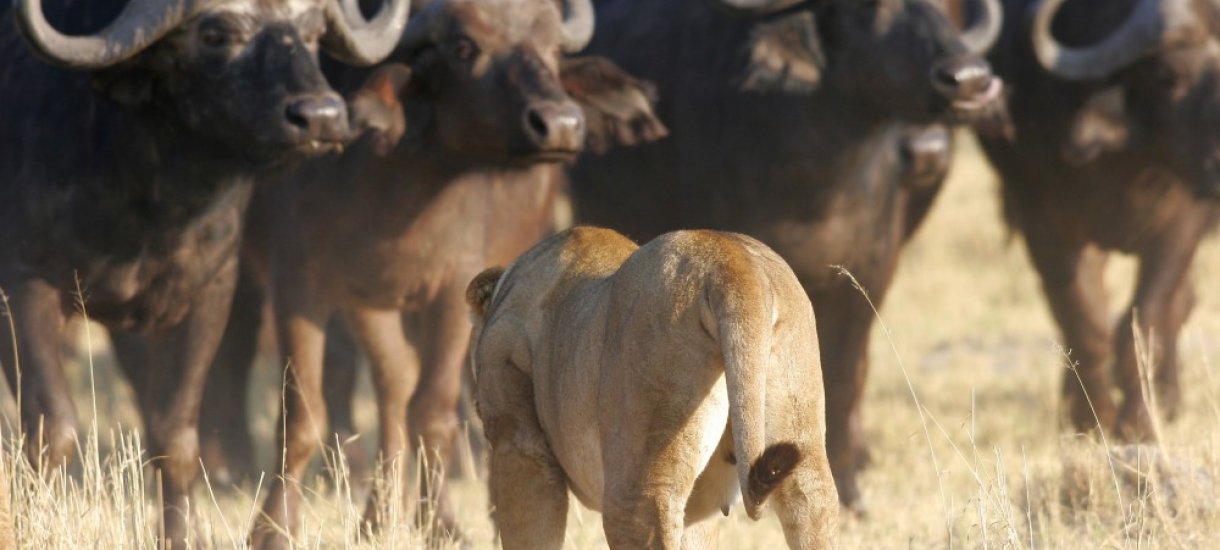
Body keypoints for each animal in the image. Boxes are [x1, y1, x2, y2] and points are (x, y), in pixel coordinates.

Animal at [0, 0, 409, 541]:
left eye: (313, 31)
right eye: (216, 34)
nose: (320, 117)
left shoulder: (208, 293)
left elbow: (174, 434)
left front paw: (179, 536)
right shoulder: (24, 284)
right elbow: (52, 427)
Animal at [229, 1, 663, 546]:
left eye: (551, 47)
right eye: (464, 47)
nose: (562, 122)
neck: (391, 187)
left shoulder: (451, 290)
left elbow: (432, 410)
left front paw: (441, 525)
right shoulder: (299, 286)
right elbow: (302, 415)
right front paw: (272, 529)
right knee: (393, 386)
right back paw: (376, 517)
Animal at [466, 225, 839, 548]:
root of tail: (726, 258)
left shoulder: (519, 446)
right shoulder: (699, 511)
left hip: (636, 487)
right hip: (802, 457)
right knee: (812, 503)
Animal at [566, 0, 1005, 512]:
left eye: (944, 9)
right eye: (866, 9)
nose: (969, 78)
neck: (819, 181)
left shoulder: (868, 276)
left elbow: (843, 378)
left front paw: (849, 489)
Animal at [976, 0, 1220, 441]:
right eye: (1168, 74)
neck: (1127, 164)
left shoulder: (1184, 221)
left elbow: (1147, 319)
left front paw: (1140, 421)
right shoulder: (1045, 222)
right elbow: (1085, 323)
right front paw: (1093, 419)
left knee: (1181, 303)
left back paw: (1168, 398)